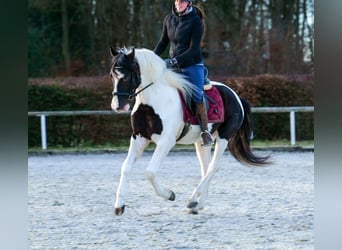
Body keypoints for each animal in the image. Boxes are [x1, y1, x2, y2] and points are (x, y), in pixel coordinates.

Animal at [109, 47, 270, 216]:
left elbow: (150, 172)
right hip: (201, 142)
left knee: (214, 166)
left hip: (224, 137)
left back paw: (192, 200)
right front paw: (119, 206)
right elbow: (125, 167)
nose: (117, 106)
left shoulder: (166, 142)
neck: (151, 102)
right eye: (112, 76)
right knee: (206, 168)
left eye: (126, 77)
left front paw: (169, 194)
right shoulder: (138, 138)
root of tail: (237, 96)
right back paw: (198, 205)